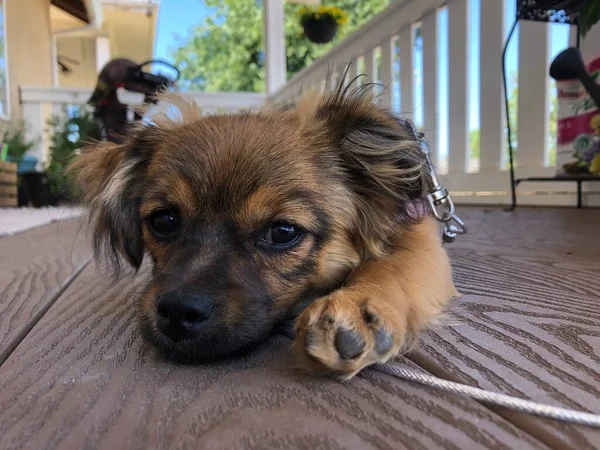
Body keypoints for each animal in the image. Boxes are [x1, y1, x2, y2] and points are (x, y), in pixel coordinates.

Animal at [70, 82, 458, 378]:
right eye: (163, 221)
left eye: (282, 232)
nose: (179, 313)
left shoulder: (416, 232)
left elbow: (396, 264)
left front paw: (361, 304)